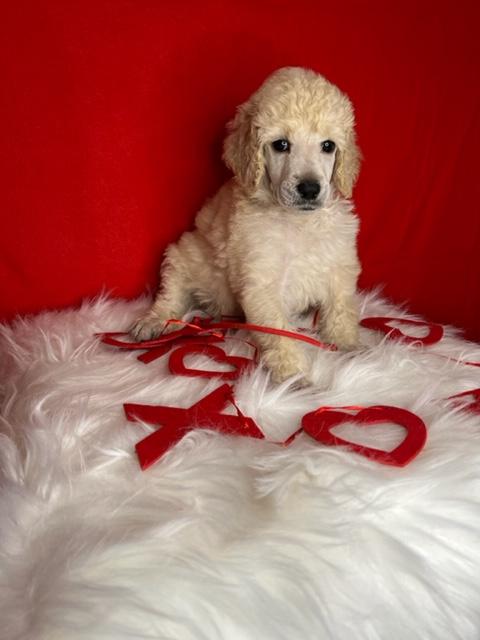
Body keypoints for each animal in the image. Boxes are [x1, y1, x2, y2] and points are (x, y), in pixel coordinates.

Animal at [131, 67, 362, 384]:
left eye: (328, 146)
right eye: (281, 145)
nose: (309, 189)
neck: (299, 220)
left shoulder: (339, 263)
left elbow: (342, 307)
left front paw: (350, 345)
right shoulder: (261, 280)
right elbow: (278, 330)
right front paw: (293, 374)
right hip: (184, 254)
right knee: (171, 293)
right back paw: (153, 321)